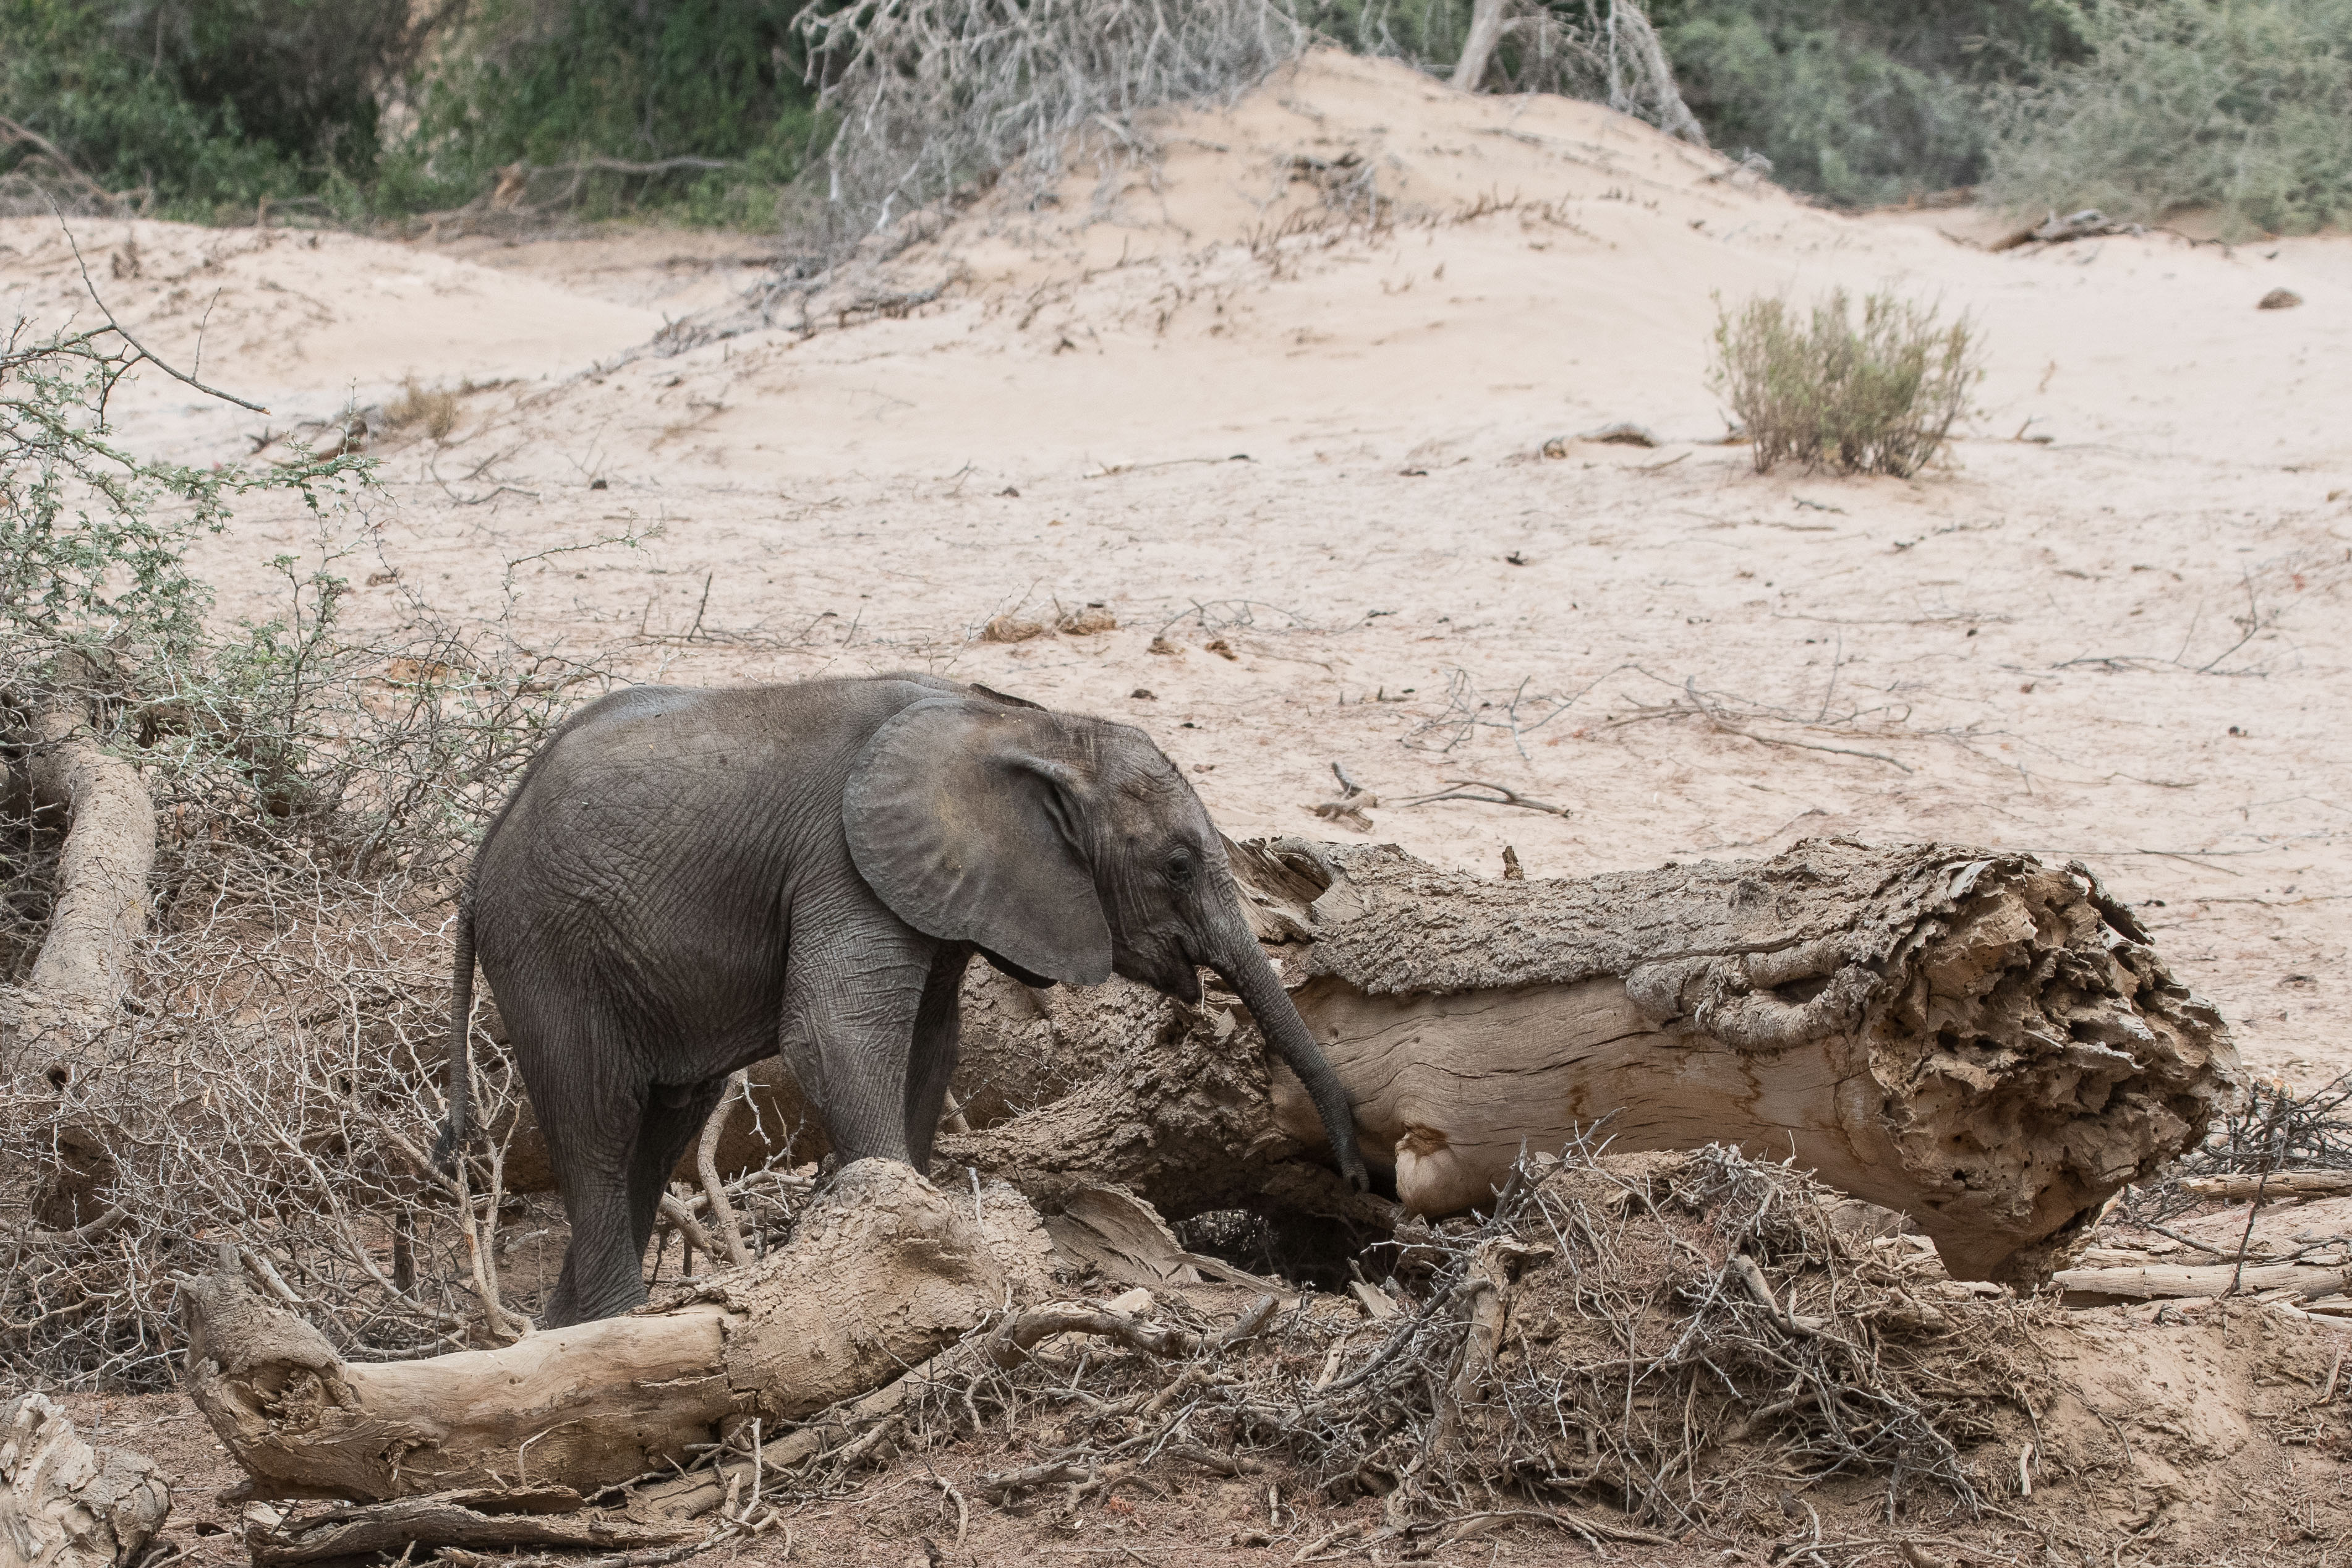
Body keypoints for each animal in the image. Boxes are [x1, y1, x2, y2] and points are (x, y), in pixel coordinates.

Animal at [435, 677, 1373, 1326]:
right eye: (1177, 865)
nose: (1361, 1179)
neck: (1022, 723)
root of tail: (481, 856)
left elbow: (931, 1044)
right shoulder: (842, 861)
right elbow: (835, 1033)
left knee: (661, 1124)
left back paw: (565, 1329)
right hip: (550, 946)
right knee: (598, 1119)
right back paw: (614, 1323)